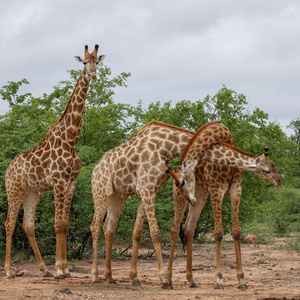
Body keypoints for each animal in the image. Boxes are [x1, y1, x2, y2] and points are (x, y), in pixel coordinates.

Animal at [4, 44, 105, 278]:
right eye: (84, 62)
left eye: (98, 62)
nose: (93, 74)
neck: (71, 138)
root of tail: (7, 170)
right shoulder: (58, 182)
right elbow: (58, 224)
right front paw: (60, 269)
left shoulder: (71, 183)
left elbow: (65, 224)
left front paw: (64, 268)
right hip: (14, 190)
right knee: (9, 223)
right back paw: (9, 271)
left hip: (32, 192)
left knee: (27, 225)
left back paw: (44, 270)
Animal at [168, 120, 282, 290]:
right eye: (267, 170)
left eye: (274, 165)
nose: (279, 182)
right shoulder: (217, 190)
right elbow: (218, 233)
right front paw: (219, 280)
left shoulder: (236, 190)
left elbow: (236, 232)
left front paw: (242, 280)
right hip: (180, 195)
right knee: (175, 228)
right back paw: (167, 279)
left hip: (200, 195)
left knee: (188, 228)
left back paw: (191, 279)